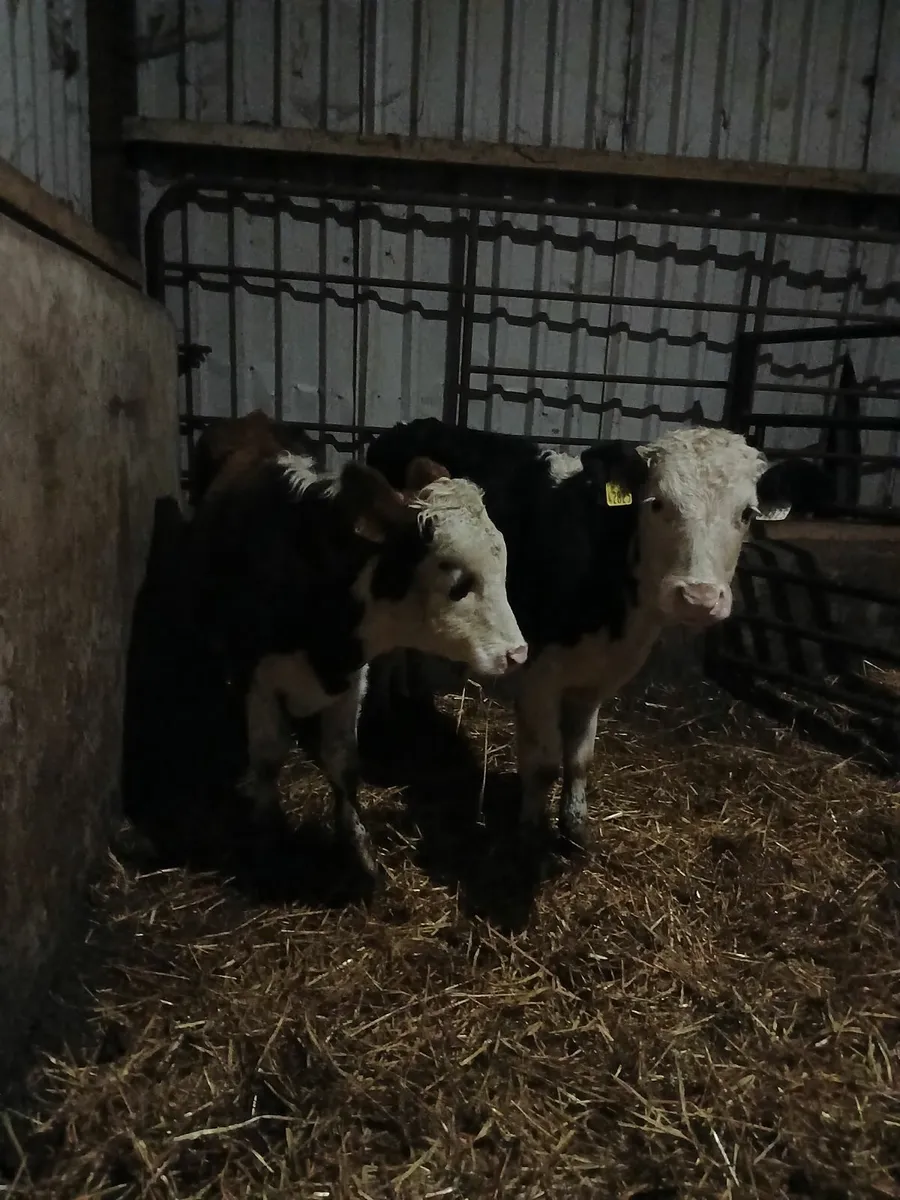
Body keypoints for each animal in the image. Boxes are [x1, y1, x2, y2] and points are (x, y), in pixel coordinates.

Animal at [186, 411, 528, 880]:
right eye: (458, 582)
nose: (517, 653)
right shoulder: (255, 676)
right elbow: (268, 758)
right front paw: (268, 840)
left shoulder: (352, 680)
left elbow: (345, 763)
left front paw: (359, 849)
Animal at [365, 418, 828, 859]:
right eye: (656, 503)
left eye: (747, 514)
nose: (698, 597)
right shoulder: (538, 674)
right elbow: (544, 763)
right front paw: (528, 838)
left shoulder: (599, 677)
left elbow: (580, 759)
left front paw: (574, 830)